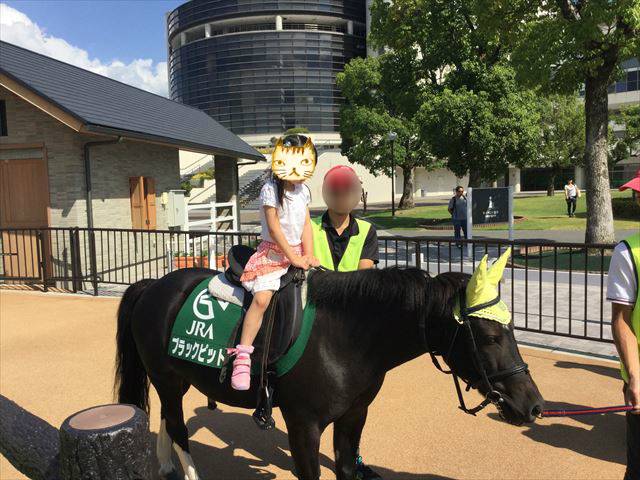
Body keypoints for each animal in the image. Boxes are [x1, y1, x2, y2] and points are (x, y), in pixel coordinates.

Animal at [114, 264, 540, 478]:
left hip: (178, 380)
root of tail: (154, 285)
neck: (344, 336)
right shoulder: (303, 426)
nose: (533, 404)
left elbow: (348, 468)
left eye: (512, 329)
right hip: (167, 378)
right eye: (489, 337)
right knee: (178, 427)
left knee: (168, 419)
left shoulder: (353, 418)